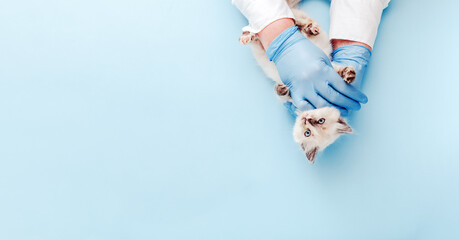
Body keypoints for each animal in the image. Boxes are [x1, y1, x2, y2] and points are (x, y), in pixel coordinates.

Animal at [241, 0, 356, 163]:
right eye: (320, 121)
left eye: (308, 132)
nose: (307, 118)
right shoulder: (327, 66)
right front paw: (349, 75)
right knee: (262, 29)